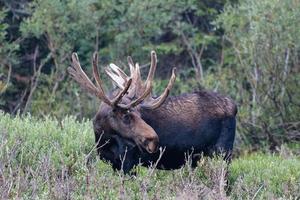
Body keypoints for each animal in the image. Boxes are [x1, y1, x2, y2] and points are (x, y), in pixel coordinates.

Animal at [67, 51, 237, 173]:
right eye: (125, 116)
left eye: (140, 115)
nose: (153, 139)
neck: (103, 138)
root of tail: (234, 106)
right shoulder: (114, 163)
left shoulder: (128, 162)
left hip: (223, 153)